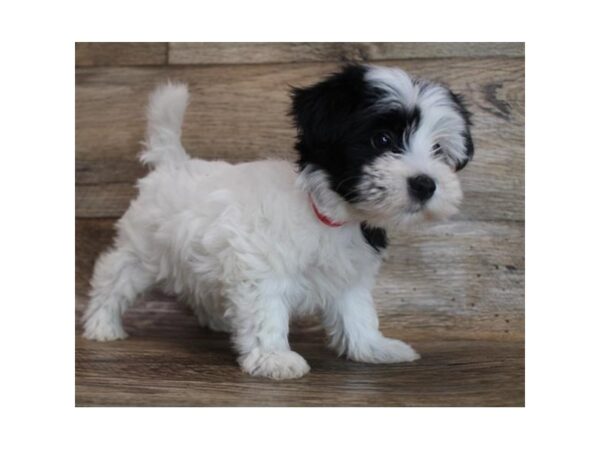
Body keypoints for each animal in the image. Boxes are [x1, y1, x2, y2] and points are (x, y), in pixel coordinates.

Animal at [81, 64, 474, 380]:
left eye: (438, 150)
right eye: (383, 139)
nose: (425, 183)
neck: (328, 214)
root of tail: (174, 163)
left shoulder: (348, 275)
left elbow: (358, 312)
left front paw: (373, 347)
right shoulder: (262, 269)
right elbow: (266, 313)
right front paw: (274, 359)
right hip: (142, 249)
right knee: (113, 278)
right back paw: (102, 324)